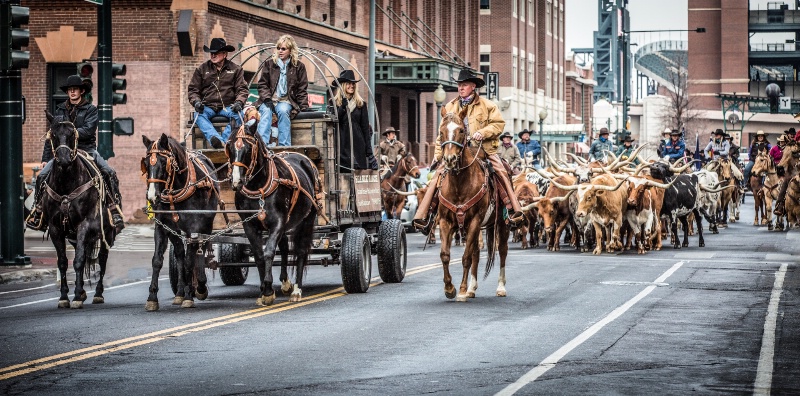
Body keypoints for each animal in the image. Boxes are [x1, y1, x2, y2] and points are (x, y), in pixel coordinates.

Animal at [42, 111, 115, 310]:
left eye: (72, 135)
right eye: (53, 135)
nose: (64, 159)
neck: (66, 183)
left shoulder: (85, 224)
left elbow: (79, 260)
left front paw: (75, 296)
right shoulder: (55, 228)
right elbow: (63, 262)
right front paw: (65, 296)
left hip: (106, 233)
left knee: (103, 259)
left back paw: (97, 294)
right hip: (74, 236)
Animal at [139, 135, 217, 310]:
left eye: (163, 163)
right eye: (146, 163)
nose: (152, 196)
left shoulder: (193, 228)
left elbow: (189, 262)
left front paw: (189, 296)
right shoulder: (162, 227)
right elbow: (157, 261)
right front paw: (152, 298)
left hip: (206, 226)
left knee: (199, 251)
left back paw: (199, 286)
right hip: (175, 230)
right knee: (180, 253)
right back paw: (180, 292)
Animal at [225, 124, 318, 306]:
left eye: (248, 149)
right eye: (229, 147)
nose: (237, 181)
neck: (258, 187)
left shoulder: (278, 221)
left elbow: (269, 252)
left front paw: (268, 290)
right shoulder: (250, 225)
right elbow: (259, 255)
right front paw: (264, 291)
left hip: (307, 219)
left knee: (301, 250)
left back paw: (296, 289)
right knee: (284, 247)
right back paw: (286, 283)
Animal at [434, 108, 510, 300]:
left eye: (461, 130)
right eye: (441, 132)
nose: (450, 159)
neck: (459, 183)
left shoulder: (475, 220)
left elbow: (466, 257)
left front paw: (460, 290)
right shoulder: (446, 221)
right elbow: (445, 255)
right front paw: (450, 288)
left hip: (501, 224)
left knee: (502, 250)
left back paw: (500, 287)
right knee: (476, 252)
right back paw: (472, 288)